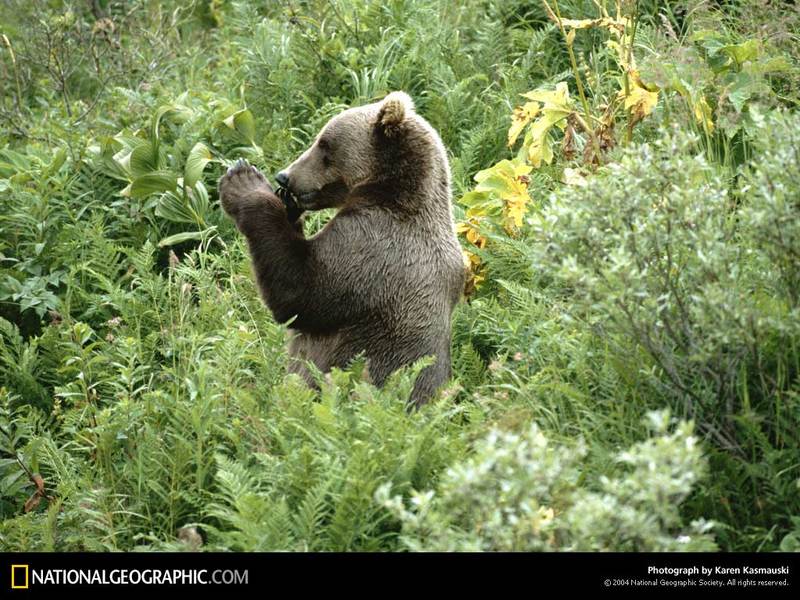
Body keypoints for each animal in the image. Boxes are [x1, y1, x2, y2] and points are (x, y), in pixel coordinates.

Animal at [222, 91, 466, 406]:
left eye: (324, 144)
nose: (284, 176)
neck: (389, 192)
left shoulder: (371, 248)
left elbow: (299, 293)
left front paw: (243, 181)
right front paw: (284, 203)